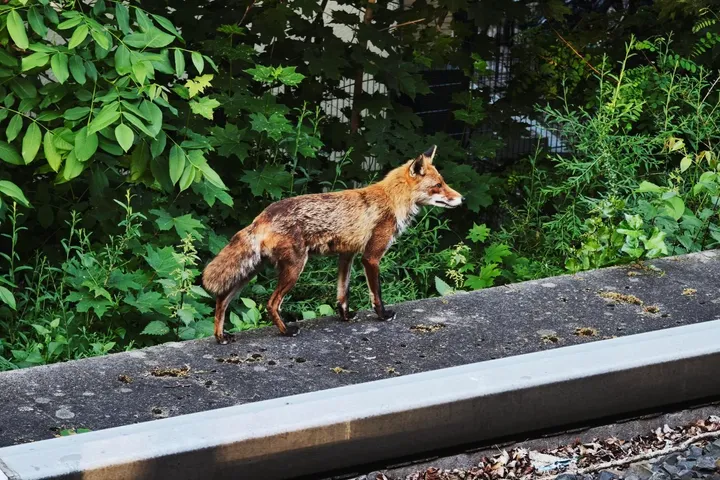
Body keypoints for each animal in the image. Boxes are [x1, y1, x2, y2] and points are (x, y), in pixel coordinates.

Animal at [201, 145, 464, 344]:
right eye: (438, 186)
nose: (462, 198)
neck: (391, 200)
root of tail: (261, 216)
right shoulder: (371, 257)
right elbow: (376, 294)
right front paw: (383, 315)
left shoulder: (347, 256)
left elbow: (342, 293)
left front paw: (345, 317)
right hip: (294, 268)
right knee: (270, 303)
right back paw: (286, 331)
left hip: (251, 271)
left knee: (221, 300)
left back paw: (221, 336)